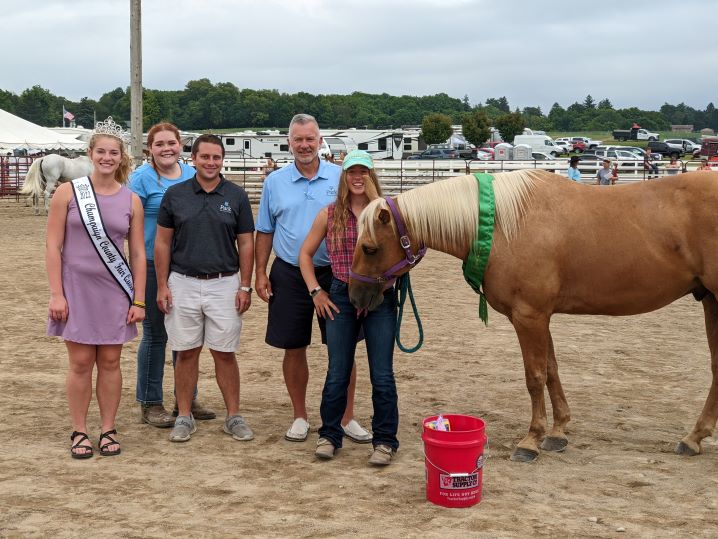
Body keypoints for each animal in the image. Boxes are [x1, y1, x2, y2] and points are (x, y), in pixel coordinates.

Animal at [350, 172, 718, 464]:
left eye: (369, 248)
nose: (355, 296)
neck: (502, 226)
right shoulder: (542, 316)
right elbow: (552, 370)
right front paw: (558, 432)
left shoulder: (529, 316)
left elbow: (535, 376)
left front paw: (532, 440)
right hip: (710, 301)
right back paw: (694, 437)